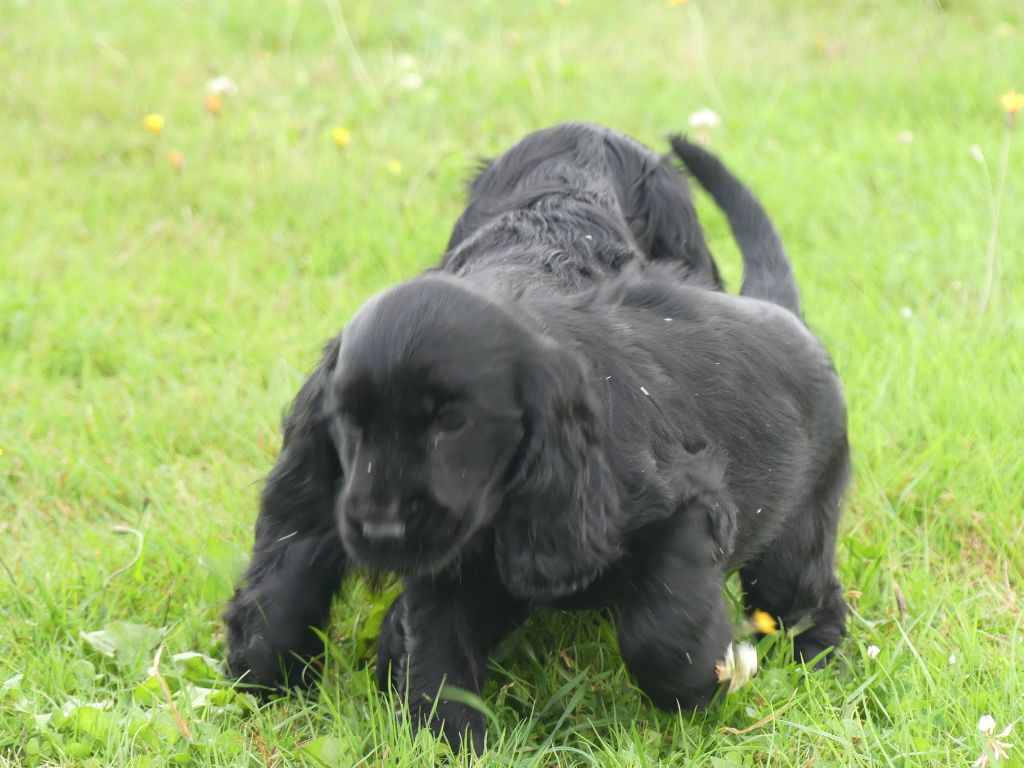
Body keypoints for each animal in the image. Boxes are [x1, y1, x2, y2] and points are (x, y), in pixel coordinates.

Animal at [226, 123, 847, 753]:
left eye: (454, 424)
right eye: (351, 422)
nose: (381, 529)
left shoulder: (681, 504)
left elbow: (660, 624)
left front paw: (702, 680)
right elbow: (404, 638)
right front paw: (446, 741)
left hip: (795, 533)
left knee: (804, 596)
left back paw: (820, 665)